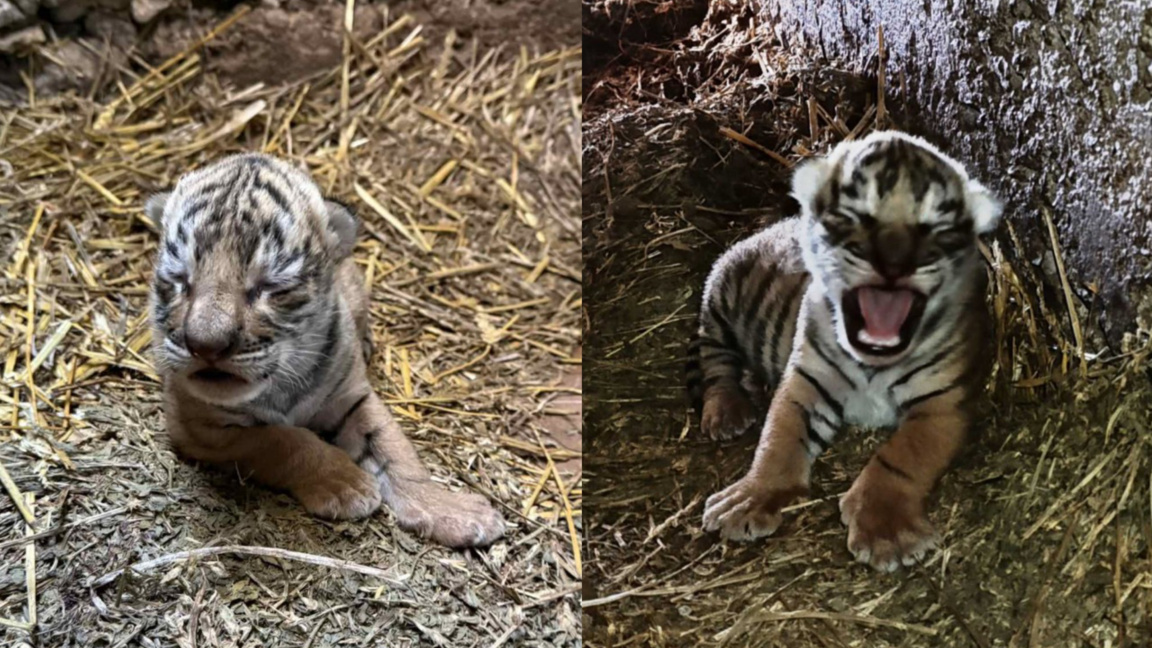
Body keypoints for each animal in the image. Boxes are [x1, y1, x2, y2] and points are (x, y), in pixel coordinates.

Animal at [147, 153, 505, 548]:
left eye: (272, 286)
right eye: (179, 280)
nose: (204, 344)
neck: (282, 382)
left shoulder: (354, 397)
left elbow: (396, 450)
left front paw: (451, 510)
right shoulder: (197, 424)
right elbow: (282, 439)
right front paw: (347, 484)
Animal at [685, 131, 1001, 571]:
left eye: (935, 228)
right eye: (853, 216)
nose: (894, 261)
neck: (875, 362)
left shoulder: (941, 403)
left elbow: (900, 457)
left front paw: (887, 532)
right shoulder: (805, 381)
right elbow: (778, 438)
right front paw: (747, 499)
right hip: (718, 294)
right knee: (714, 360)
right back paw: (726, 412)